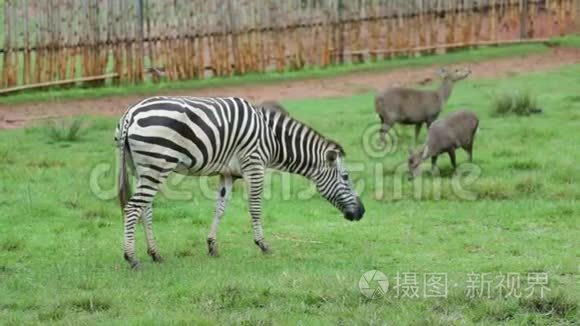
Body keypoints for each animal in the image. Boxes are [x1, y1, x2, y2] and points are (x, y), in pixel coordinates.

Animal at [115, 95, 364, 268]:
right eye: (346, 176)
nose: (361, 213)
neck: (273, 139)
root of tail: (130, 113)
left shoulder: (228, 173)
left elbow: (220, 208)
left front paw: (212, 246)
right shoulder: (254, 165)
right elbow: (255, 207)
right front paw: (263, 245)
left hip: (141, 168)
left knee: (145, 209)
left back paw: (155, 254)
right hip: (157, 164)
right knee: (133, 207)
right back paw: (131, 257)